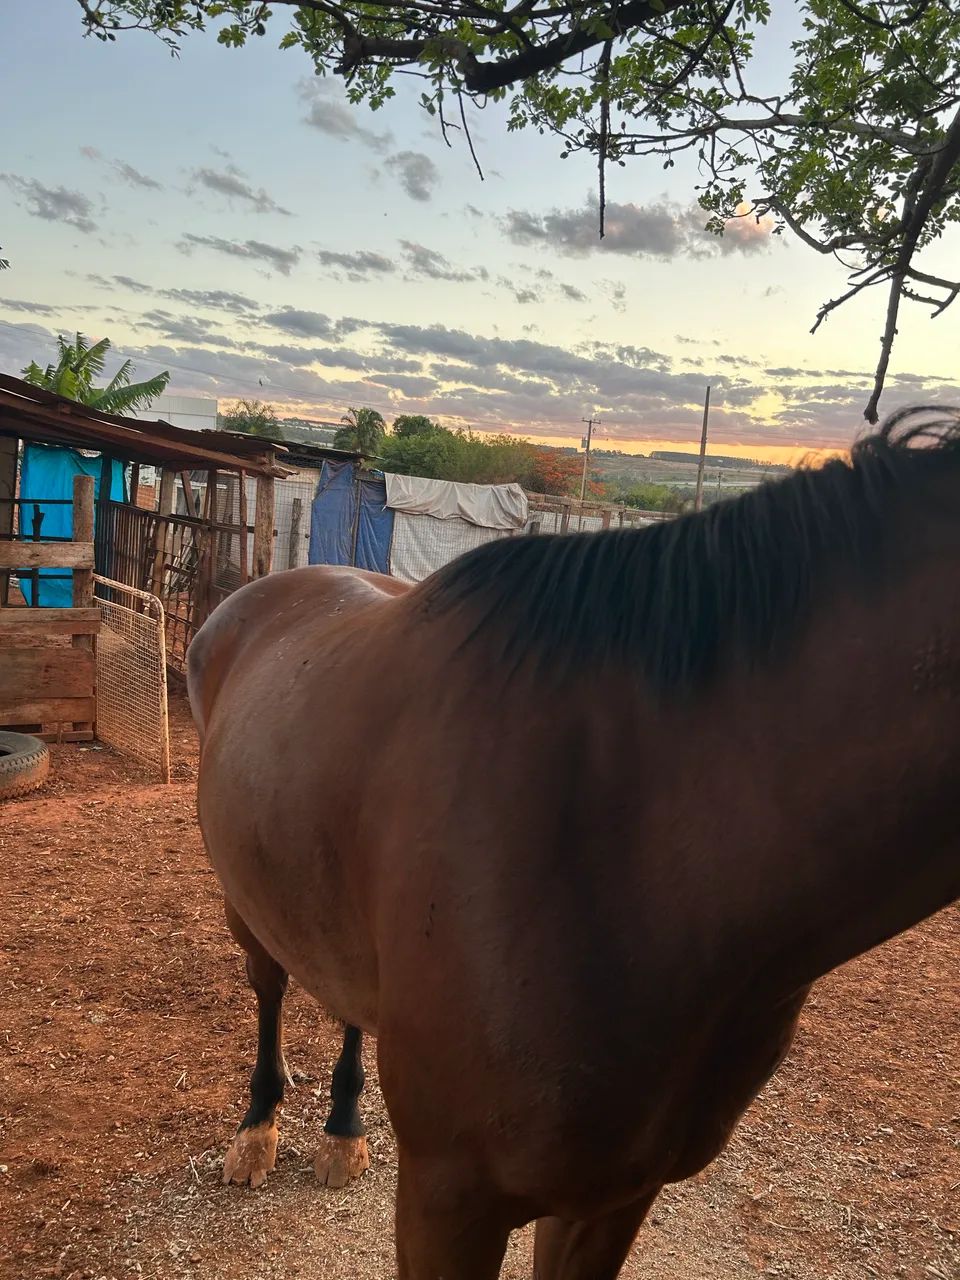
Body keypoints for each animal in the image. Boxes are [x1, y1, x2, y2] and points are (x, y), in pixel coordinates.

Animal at [186, 407, 960, 1279]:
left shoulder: (616, 1194)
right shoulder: (448, 1199)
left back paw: (345, 1133)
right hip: (247, 903)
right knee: (270, 988)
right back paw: (257, 1130)